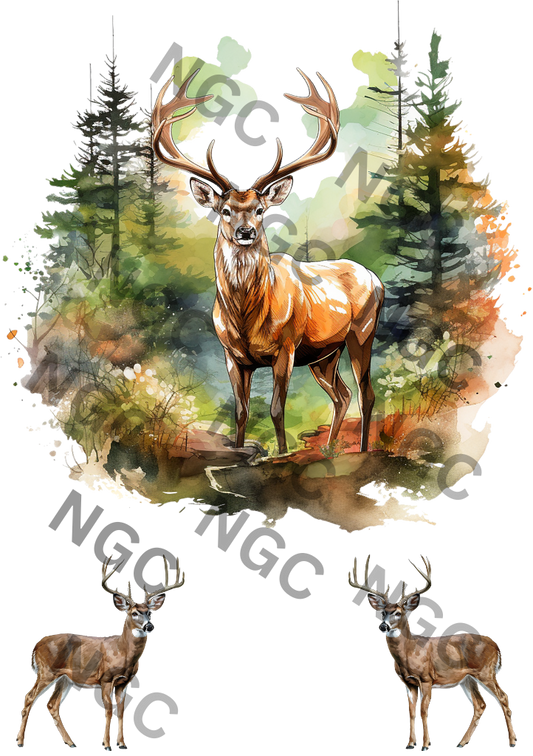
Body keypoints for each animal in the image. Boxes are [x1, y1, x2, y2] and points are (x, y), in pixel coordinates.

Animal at [14, 553, 187, 753]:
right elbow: (109, 710)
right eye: (134, 613)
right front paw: (107, 746)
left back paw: (72, 743)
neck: (123, 653)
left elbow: (121, 711)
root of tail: (36, 645)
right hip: (46, 671)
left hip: (64, 677)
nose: (150, 626)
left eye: (150, 613)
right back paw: (20, 743)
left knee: (52, 705)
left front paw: (122, 745)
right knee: (29, 698)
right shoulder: (105, 678)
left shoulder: (124, 683)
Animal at [152, 67, 384, 455]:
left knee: (366, 394)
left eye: (261, 211)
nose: (245, 231)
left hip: (361, 333)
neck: (246, 316)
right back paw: (328, 448)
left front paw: (282, 453)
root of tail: (377, 279)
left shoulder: (286, 348)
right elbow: (241, 412)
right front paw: (239, 449)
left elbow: (277, 409)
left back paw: (363, 450)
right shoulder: (232, 355)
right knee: (341, 395)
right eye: (223, 211)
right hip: (325, 355)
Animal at [346, 553, 518, 753]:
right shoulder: (407, 682)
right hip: (467, 678)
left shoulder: (427, 678)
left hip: (486, 671)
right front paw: (410, 745)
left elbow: (422, 709)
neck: (409, 652)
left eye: (398, 613)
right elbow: (411, 711)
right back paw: (460, 743)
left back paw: (512, 742)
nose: (382, 626)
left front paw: (426, 746)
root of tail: (496, 645)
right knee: (480, 705)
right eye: (383, 613)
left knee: (503, 698)